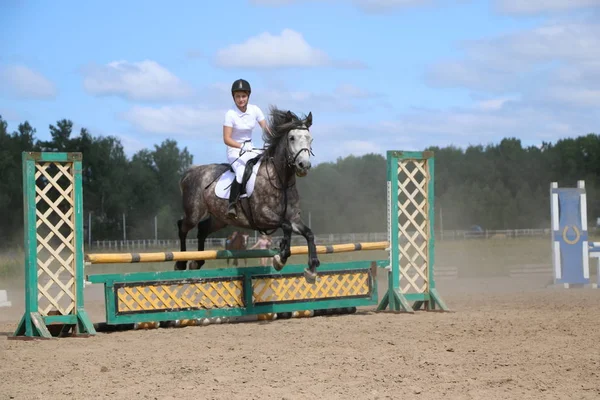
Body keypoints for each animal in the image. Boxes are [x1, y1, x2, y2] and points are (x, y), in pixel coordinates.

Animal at [175, 104, 322, 282]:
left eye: (310, 139)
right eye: (292, 138)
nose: (303, 166)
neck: (281, 180)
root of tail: (191, 172)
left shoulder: (294, 218)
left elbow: (309, 233)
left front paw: (312, 268)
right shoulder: (263, 216)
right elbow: (286, 226)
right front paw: (280, 258)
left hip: (219, 219)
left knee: (202, 229)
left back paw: (197, 262)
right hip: (194, 213)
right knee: (183, 226)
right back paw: (181, 262)